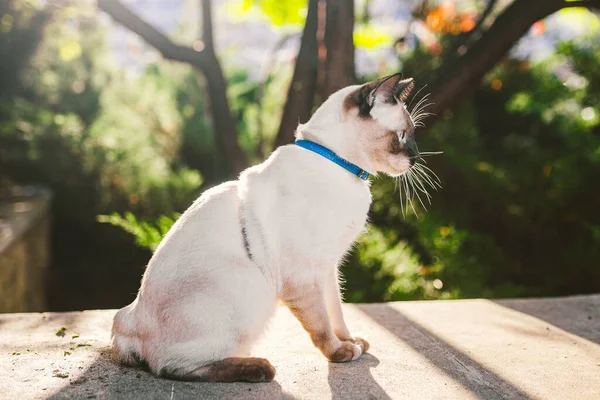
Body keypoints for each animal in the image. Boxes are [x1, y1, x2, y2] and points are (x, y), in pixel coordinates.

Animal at [111, 73, 418, 382]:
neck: (342, 168)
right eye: (403, 136)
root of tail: (129, 322)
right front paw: (340, 352)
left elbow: (336, 311)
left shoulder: (328, 267)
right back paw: (259, 368)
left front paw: (351, 341)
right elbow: (320, 324)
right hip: (250, 287)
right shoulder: (303, 273)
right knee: (173, 367)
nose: (415, 157)